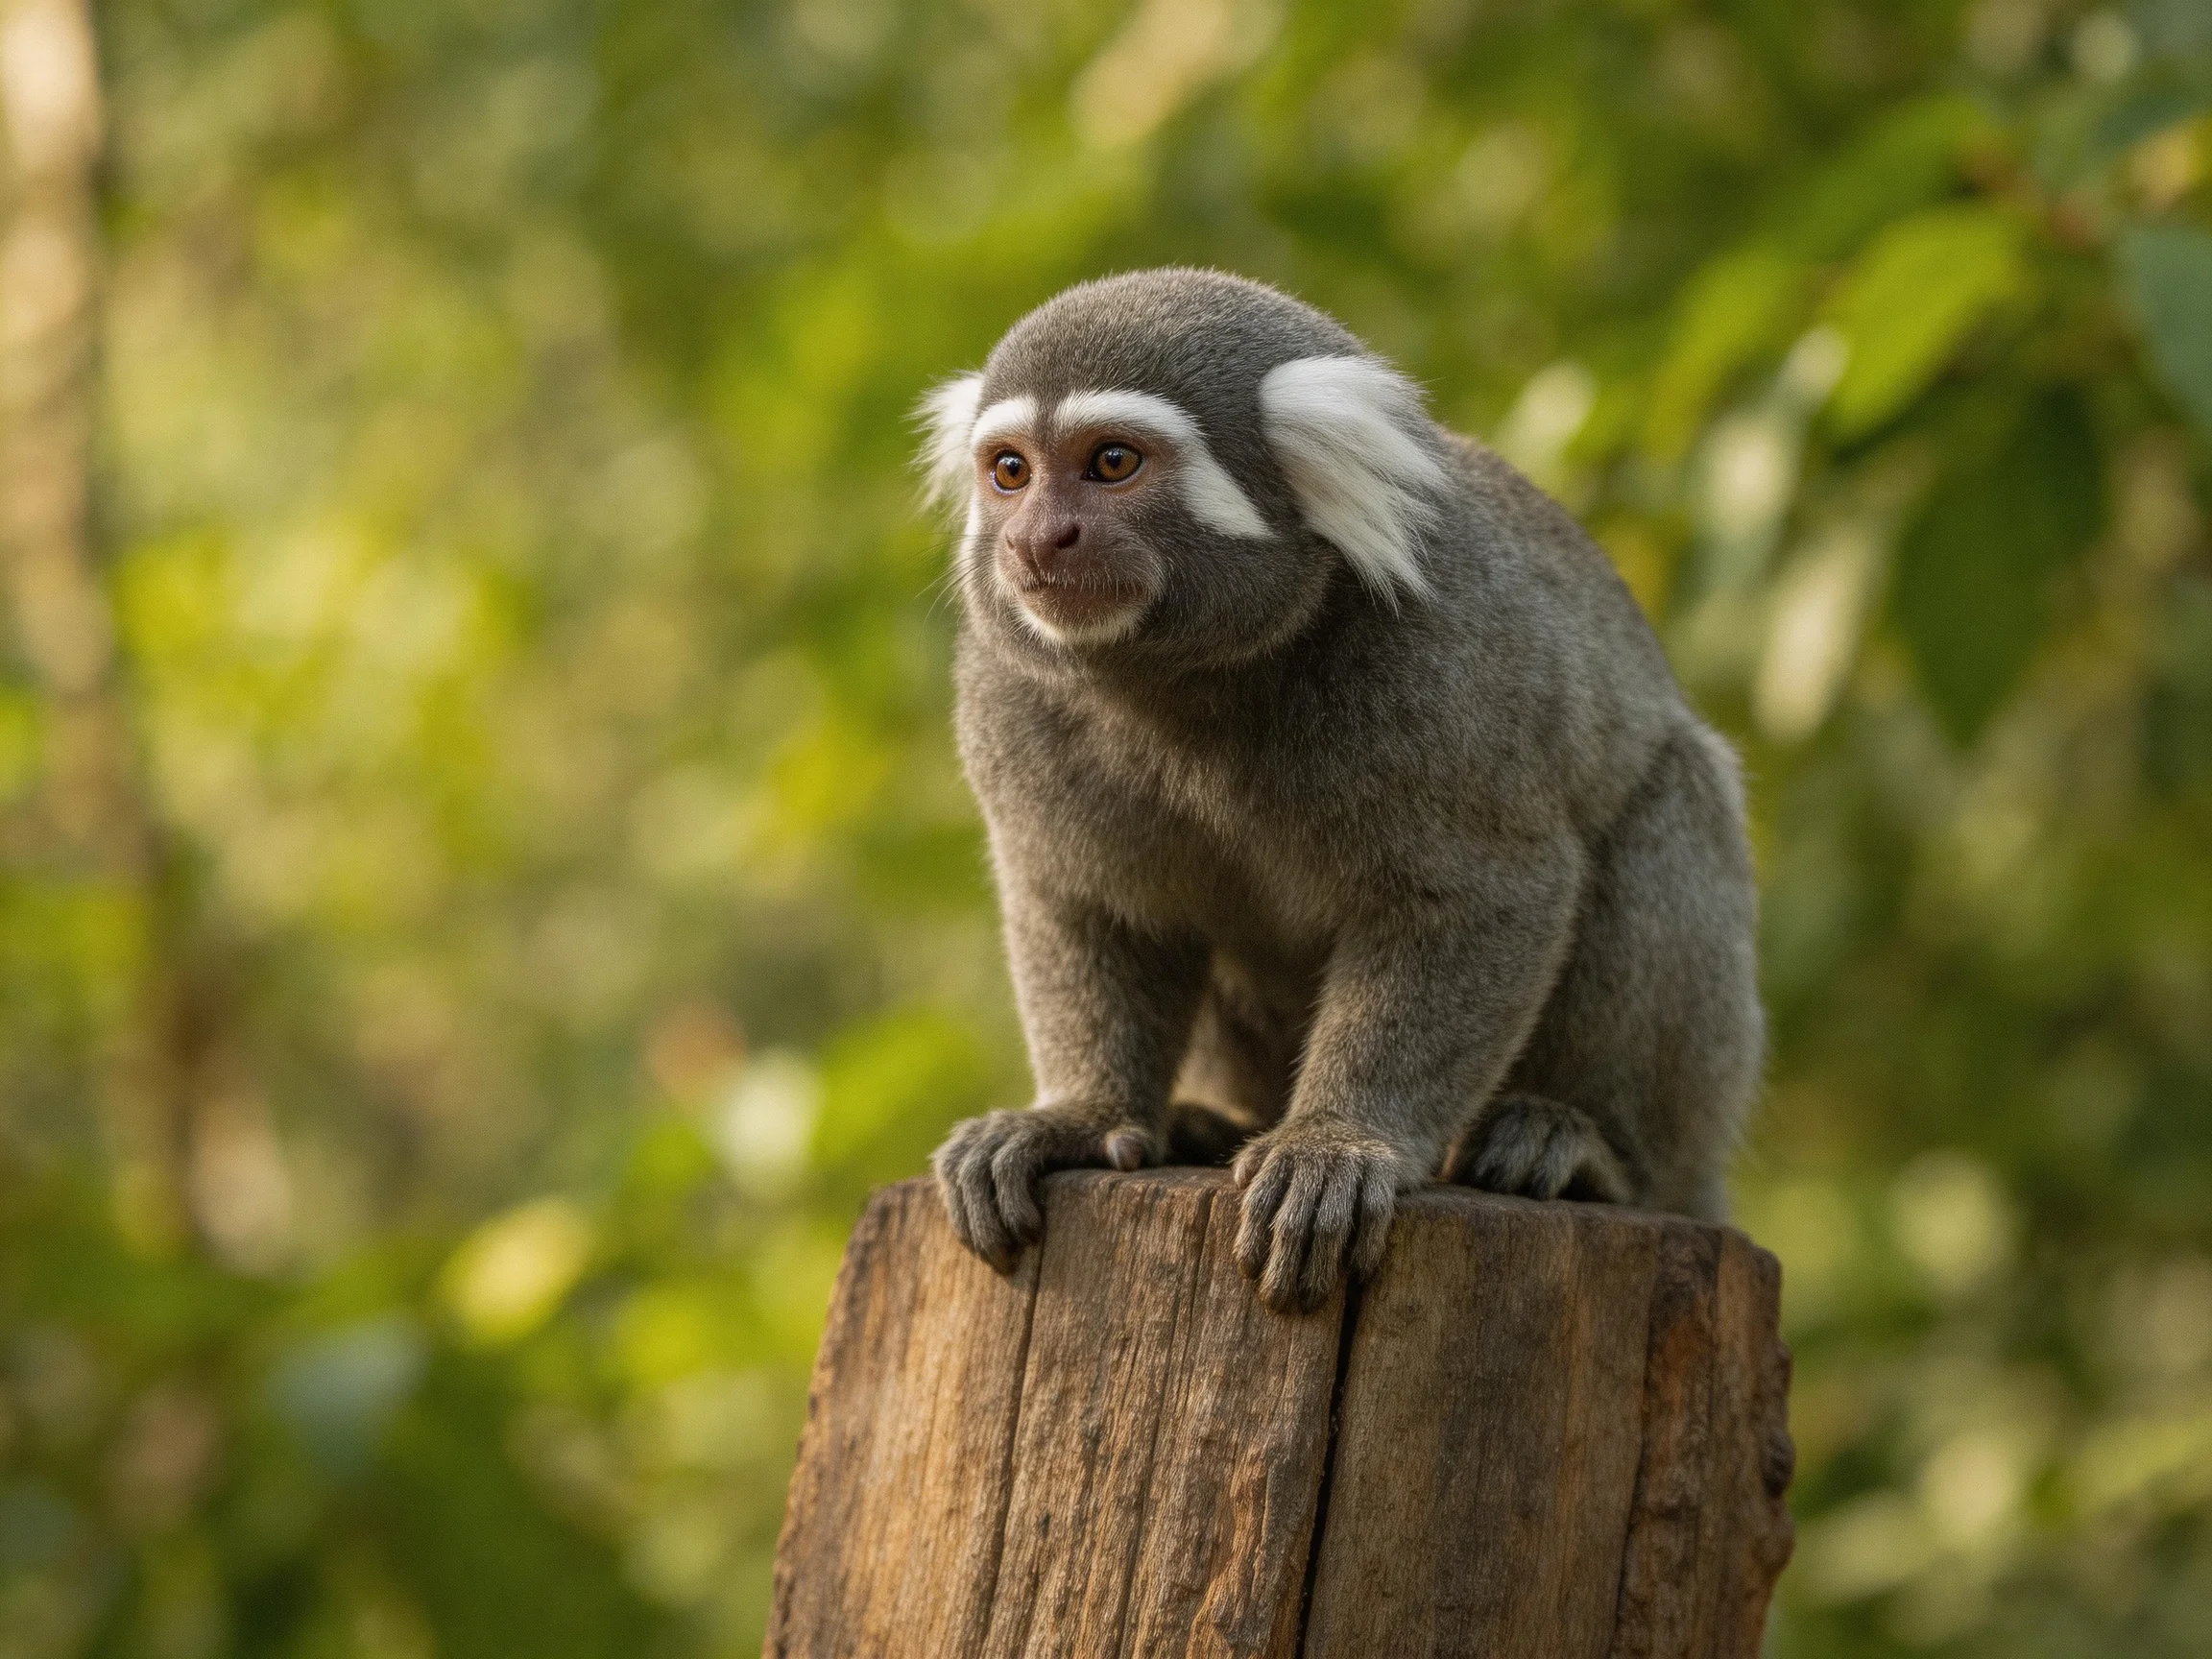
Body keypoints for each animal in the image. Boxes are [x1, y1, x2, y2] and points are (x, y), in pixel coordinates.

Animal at [920, 269, 1762, 1315]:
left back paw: (1594, 1153)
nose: (1040, 538)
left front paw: (1341, 1140)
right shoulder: (1004, 692)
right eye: (1011, 472)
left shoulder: (1440, 650)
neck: (1189, 682)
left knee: (1673, 795)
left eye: (1111, 463)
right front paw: (1079, 1115)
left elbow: (1488, 893)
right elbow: (1089, 903)